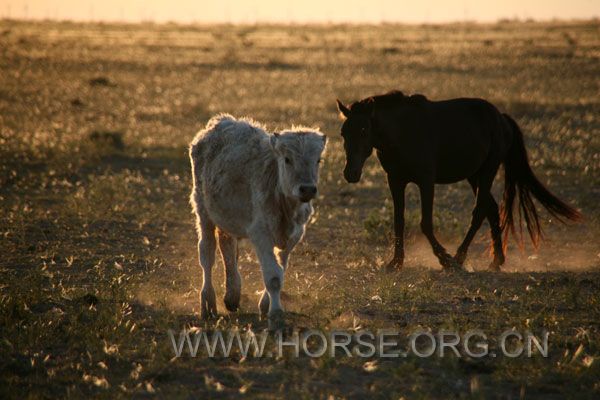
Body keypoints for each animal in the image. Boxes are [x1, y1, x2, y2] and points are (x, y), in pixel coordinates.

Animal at [189, 113, 326, 324]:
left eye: (318, 160)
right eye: (287, 159)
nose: (307, 189)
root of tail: (220, 121)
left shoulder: (294, 235)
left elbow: (281, 269)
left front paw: (265, 305)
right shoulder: (260, 234)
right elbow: (273, 277)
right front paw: (276, 314)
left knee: (227, 247)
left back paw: (232, 296)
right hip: (203, 211)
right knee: (207, 254)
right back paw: (208, 302)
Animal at [336, 91, 580, 272]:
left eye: (364, 130)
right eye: (343, 133)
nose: (351, 173)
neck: (403, 132)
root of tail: (501, 118)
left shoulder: (426, 181)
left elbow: (425, 223)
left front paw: (444, 258)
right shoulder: (395, 181)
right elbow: (399, 221)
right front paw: (396, 262)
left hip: (488, 170)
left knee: (480, 211)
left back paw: (459, 258)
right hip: (474, 175)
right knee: (491, 209)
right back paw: (496, 261)